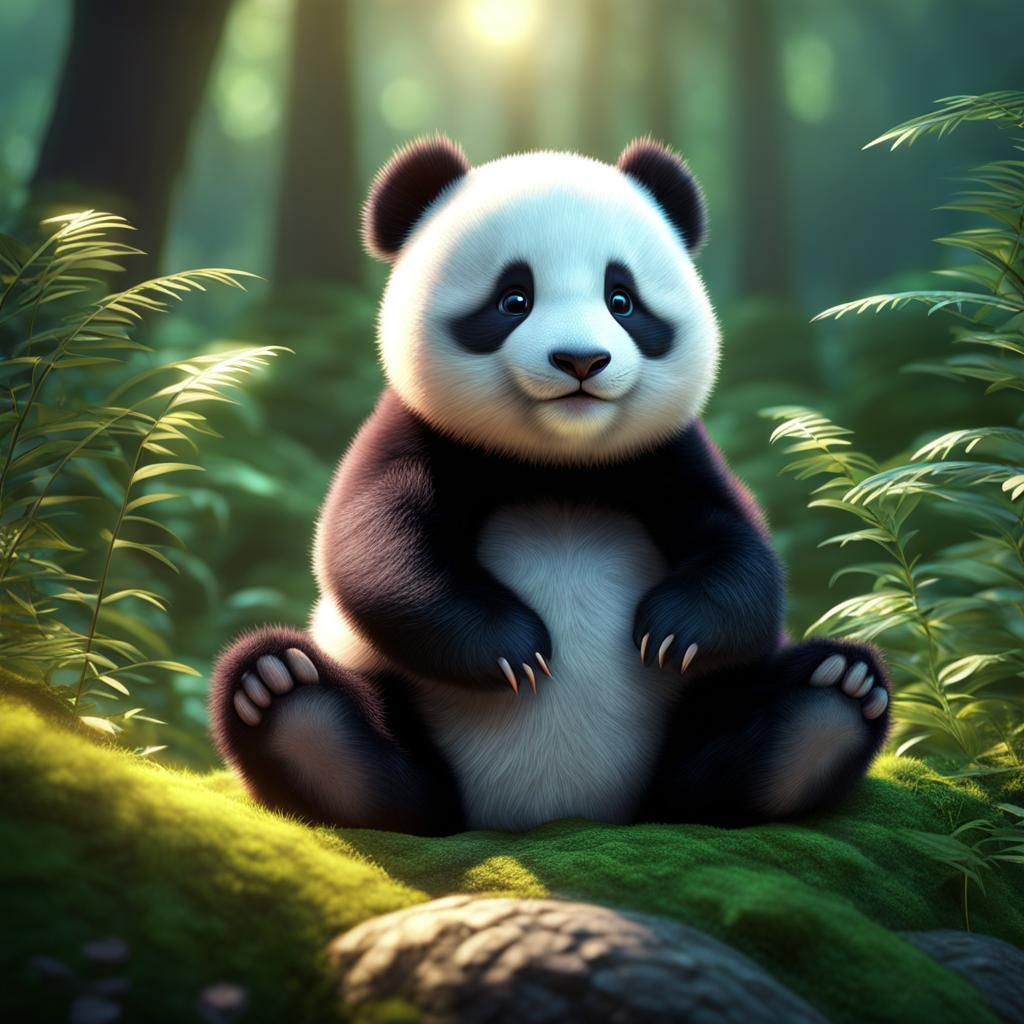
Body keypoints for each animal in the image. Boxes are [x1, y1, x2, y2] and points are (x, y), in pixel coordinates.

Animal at [209, 136, 891, 836]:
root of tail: (557, 813)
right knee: (363, 752)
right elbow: (376, 552)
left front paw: (676, 631)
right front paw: (513, 648)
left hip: (690, 731)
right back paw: (287, 697)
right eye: (514, 299)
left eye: (622, 299)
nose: (581, 360)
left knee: (737, 749)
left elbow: (742, 554)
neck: (556, 462)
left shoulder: (670, 454)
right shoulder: (413, 436)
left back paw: (833, 699)